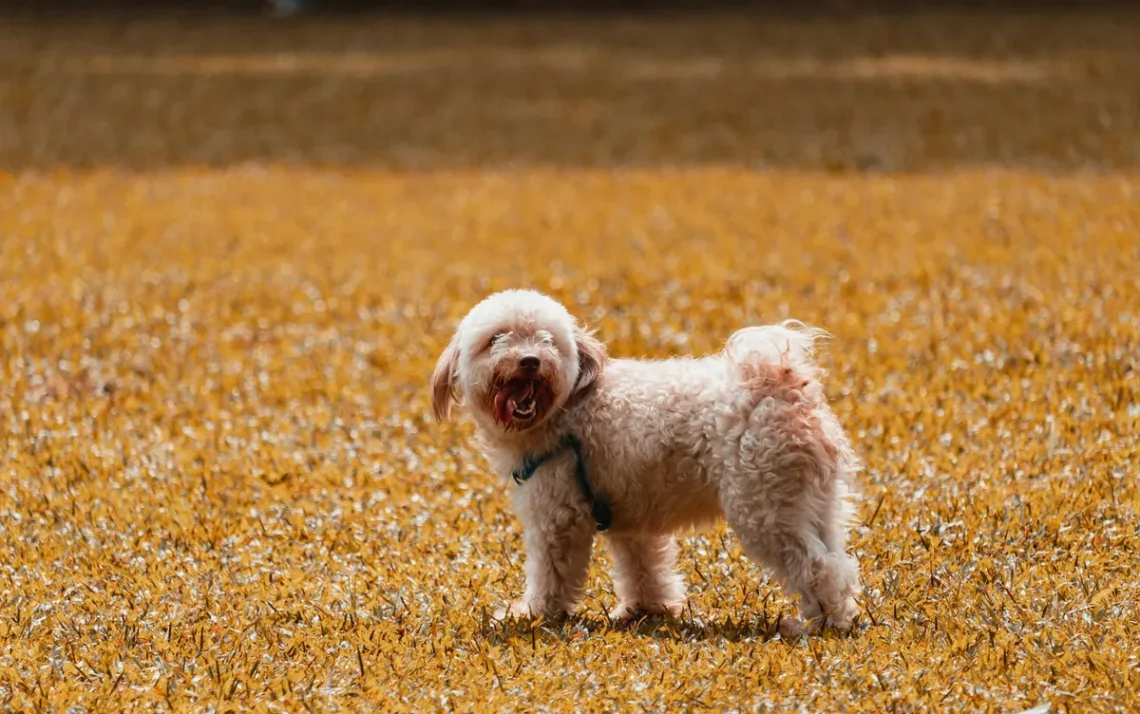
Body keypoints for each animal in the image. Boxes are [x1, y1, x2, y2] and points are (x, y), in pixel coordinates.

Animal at [430, 289, 857, 634]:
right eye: (496, 339)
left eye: (547, 340)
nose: (531, 360)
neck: (567, 411)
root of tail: (783, 385)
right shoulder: (630, 517)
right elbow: (644, 568)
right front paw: (648, 610)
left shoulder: (557, 516)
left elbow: (551, 573)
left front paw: (536, 614)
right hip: (814, 503)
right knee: (839, 560)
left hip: (764, 508)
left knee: (816, 565)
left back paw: (818, 623)